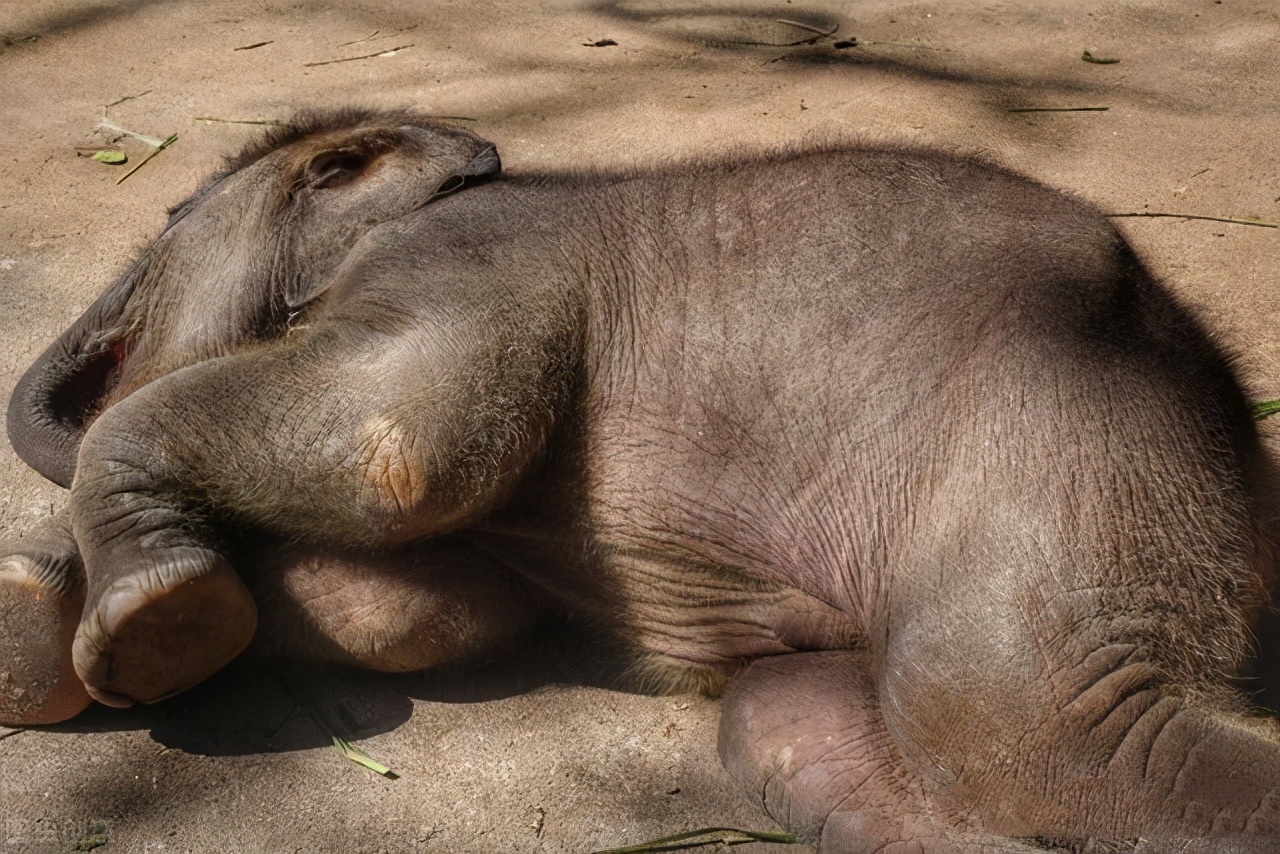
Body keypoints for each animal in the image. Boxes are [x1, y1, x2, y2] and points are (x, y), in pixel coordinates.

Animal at [3, 107, 1279, 852]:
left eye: (171, 210)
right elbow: (407, 609)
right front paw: (39, 625)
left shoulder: (473, 262)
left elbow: (400, 443)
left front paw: (126, 620)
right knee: (790, 724)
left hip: (1074, 416)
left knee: (1013, 713)